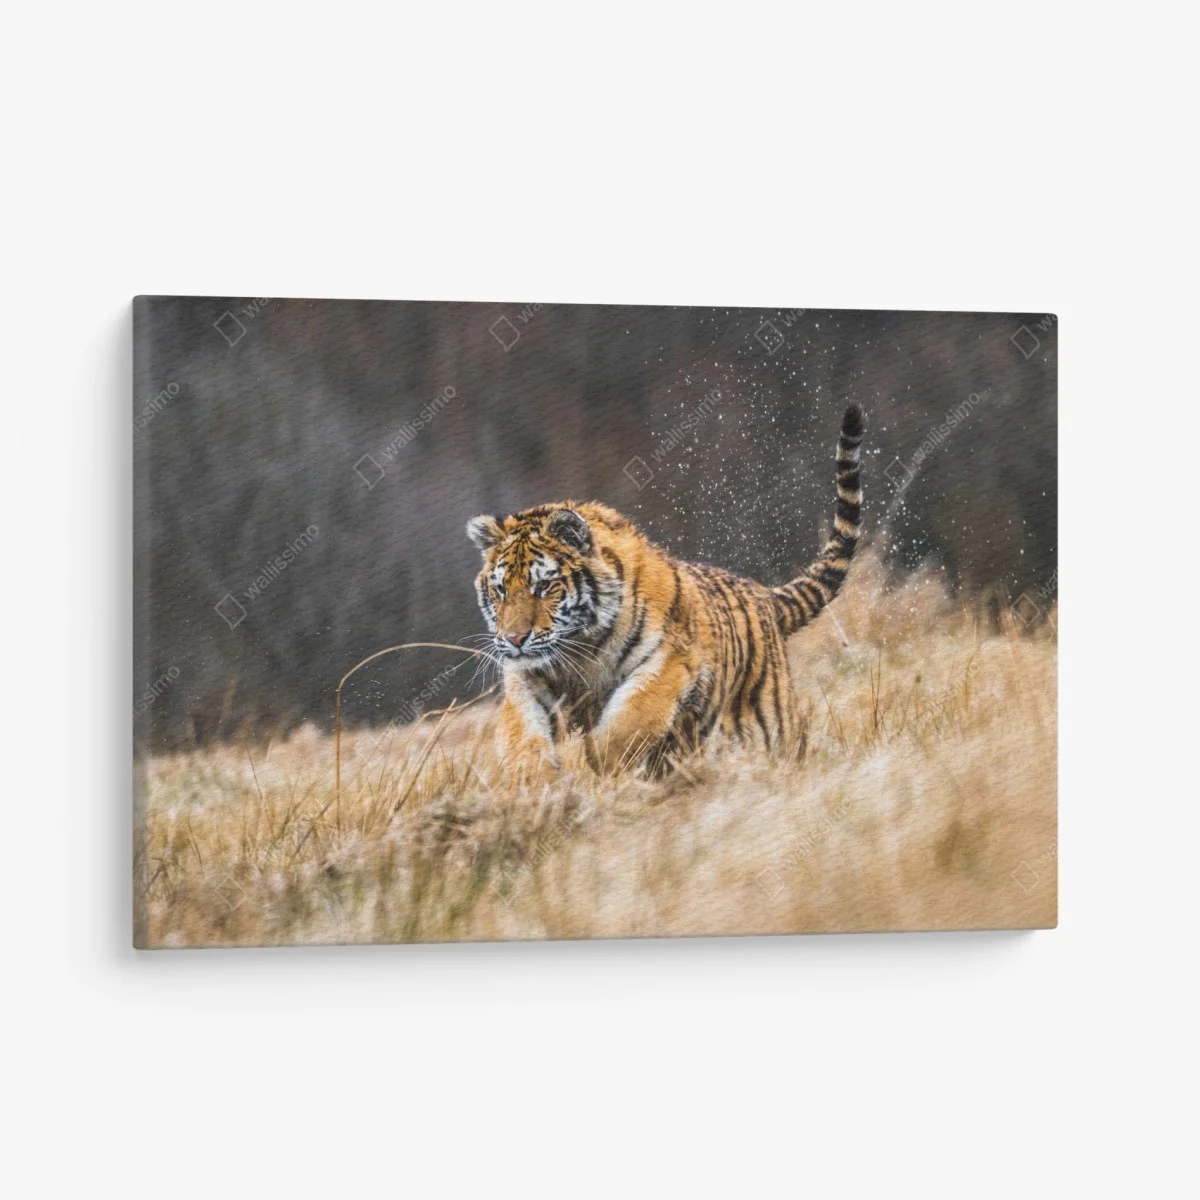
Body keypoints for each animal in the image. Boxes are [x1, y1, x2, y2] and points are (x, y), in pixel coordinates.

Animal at [466, 403, 865, 775]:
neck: (580, 652)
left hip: (772, 725)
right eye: (501, 590)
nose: (515, 639)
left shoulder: (669, 663)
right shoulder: (526, 679)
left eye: (544, 586)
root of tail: (763, 594)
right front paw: (533, 781)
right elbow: (522, 734)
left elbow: (630, 721)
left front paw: (600, 768)